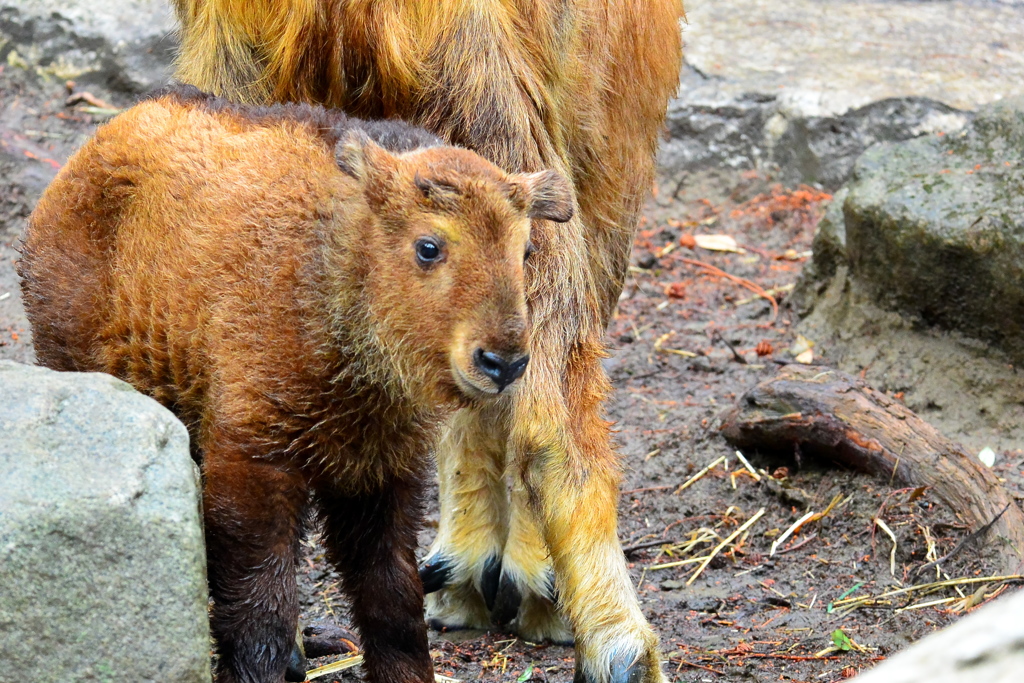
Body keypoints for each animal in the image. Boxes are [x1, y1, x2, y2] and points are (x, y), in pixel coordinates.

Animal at [18, 85, 577, 683]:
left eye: (525, 250)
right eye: (429, 246)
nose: (503, 362)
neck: (333, 264)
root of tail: (90, 152)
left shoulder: (379, 473)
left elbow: (391, 597)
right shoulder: (252, 462)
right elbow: (260, 602)